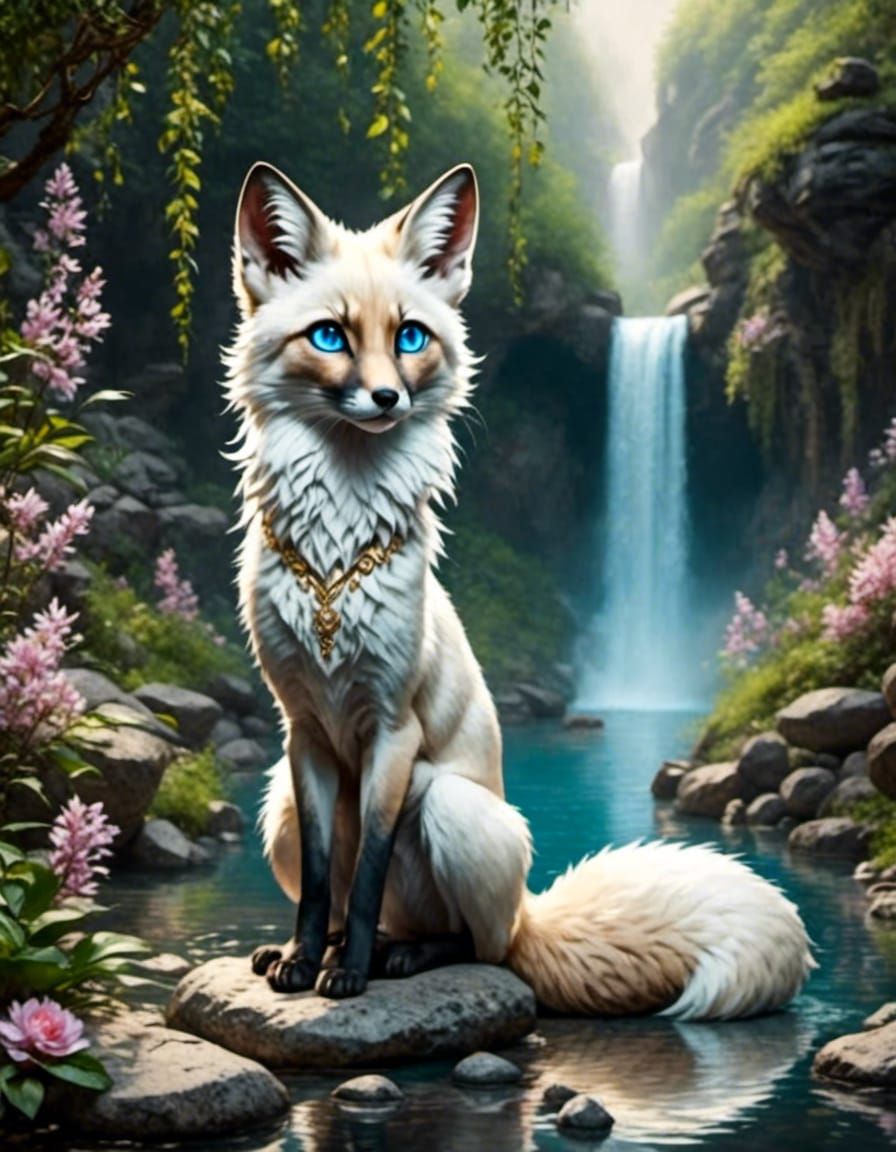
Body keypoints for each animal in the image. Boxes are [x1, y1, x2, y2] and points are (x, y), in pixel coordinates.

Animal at [224, 159, 814, 1017]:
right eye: (330, 336)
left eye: (410, 337)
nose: (387, 400)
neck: (336, 568)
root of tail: (528, 908)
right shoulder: (301, 729)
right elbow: (326, 883)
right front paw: (306, 959)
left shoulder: (394, 730)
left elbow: (364, 874)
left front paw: (349, 974)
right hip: (275, 807)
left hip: (450, 806)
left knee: (480, 945)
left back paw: (404, 956)